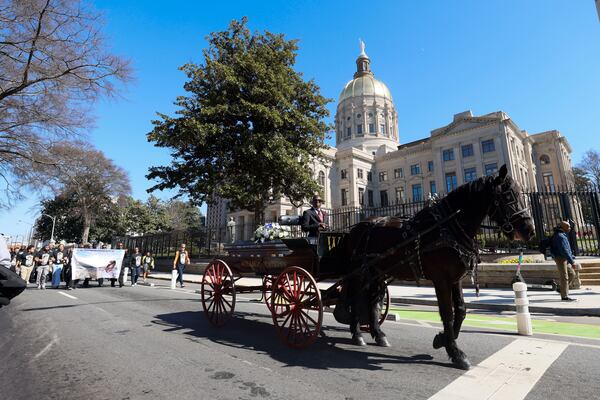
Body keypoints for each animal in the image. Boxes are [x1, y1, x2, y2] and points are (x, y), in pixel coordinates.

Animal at [338, 164, 536, 370]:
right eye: (508, 196)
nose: (530, 230)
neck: (448, 227)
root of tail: (355, 227)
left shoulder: (455, 278)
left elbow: (461, 310)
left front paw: (442, 339)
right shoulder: (441, 279)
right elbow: (447, 313)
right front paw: (456, 353)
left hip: (377, 272)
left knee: (373, 301)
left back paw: (378, 335)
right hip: (360, 272)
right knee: (355, 298)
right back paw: (357, 334)